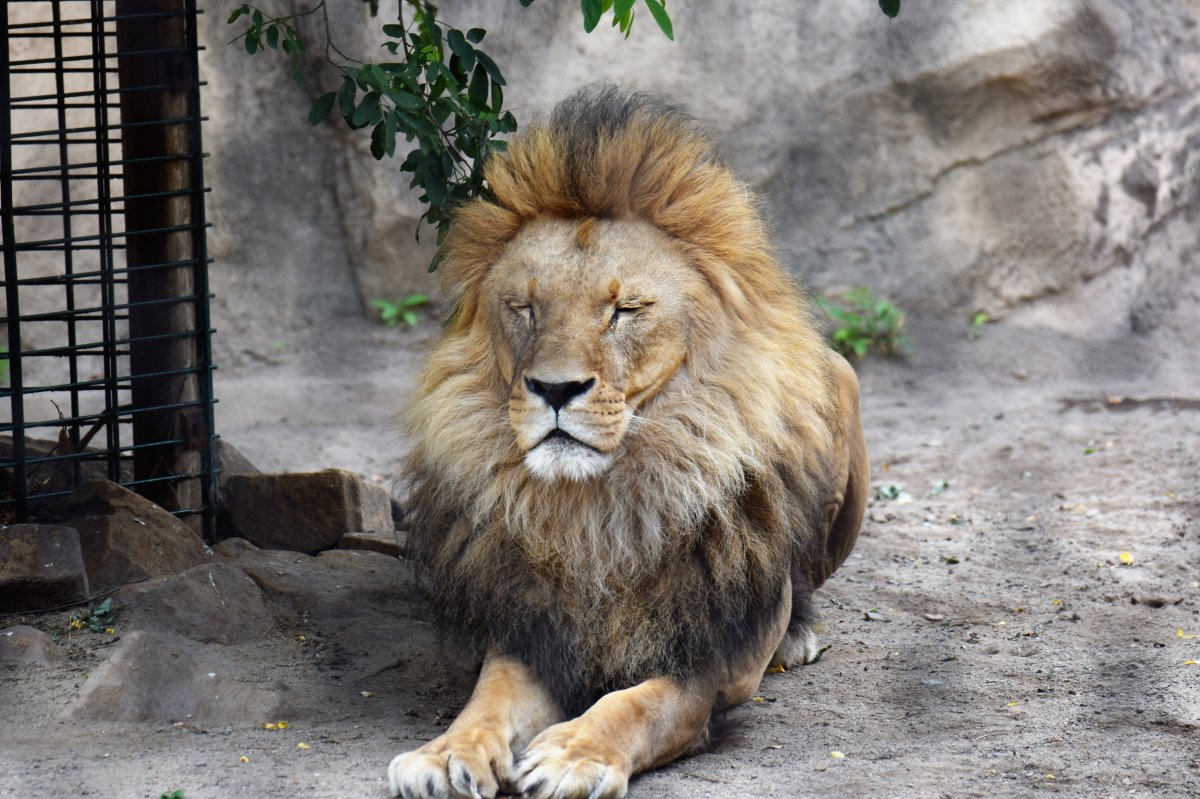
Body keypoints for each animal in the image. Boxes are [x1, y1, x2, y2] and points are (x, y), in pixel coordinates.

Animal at [388, 83, 868, 791]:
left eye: (624, 310)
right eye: (524, 308)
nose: (554, 389)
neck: (599, 510)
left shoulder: (709, 663)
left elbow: (638, 704)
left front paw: (573, 755)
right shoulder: (528, 631)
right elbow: (488, 698)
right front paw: (446, 754)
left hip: (845, 388)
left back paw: (798, 631)